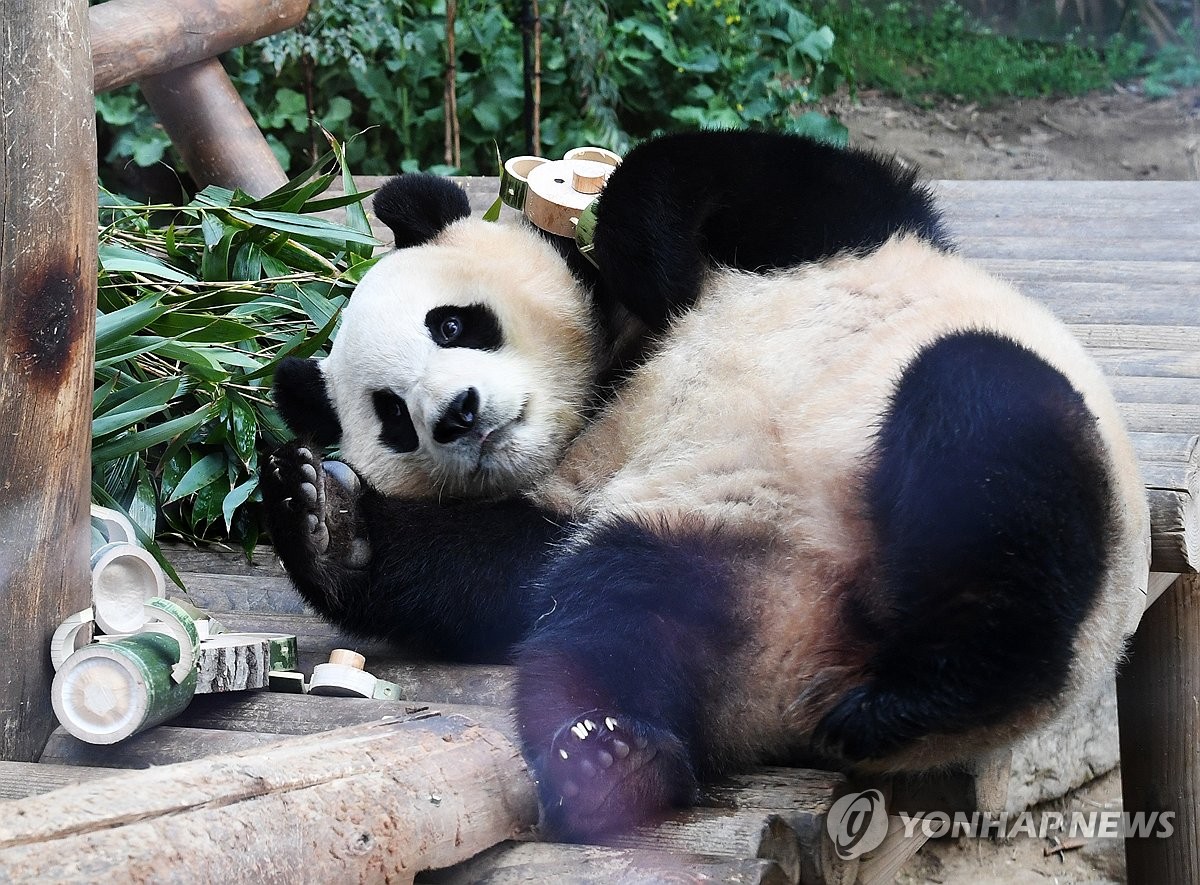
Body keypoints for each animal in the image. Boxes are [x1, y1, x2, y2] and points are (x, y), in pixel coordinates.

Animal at [265, 129, 1152, 834]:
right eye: (391, 415)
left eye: (452, 324)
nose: (456, 414)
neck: (608, 387)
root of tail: (825, 662)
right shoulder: (575, 496)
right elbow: (493, 576)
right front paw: (325, 519)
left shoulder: (838, 236)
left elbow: (757, 177)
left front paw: (640, 254)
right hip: (692, 546)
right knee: (607, 627)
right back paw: (613, 758)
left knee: (981, 416)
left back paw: (936, 687)